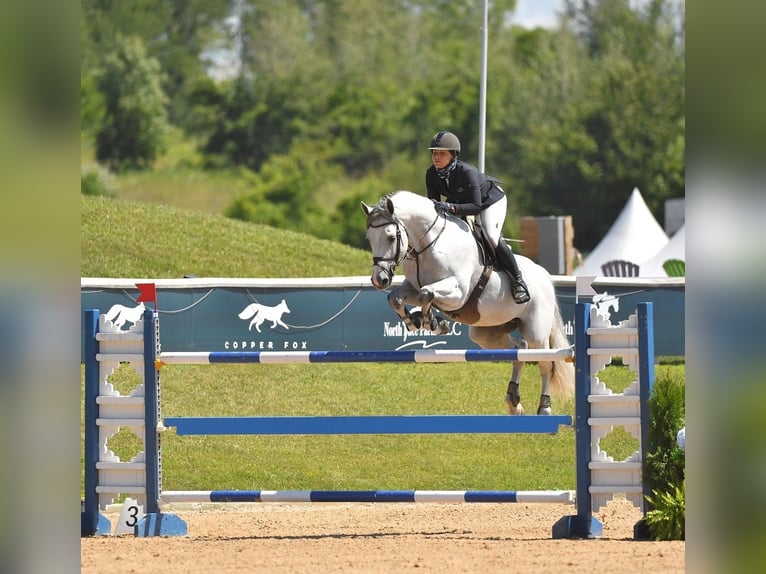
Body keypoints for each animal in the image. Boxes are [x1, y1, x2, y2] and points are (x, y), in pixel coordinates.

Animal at [364, 191, 572, 416]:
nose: (379, 280)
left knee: (545, 363)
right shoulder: (412, 286)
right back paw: (514, 402)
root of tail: (545, 275)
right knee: (519, 350)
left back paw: (544, 408)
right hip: (487, 333)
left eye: (391, 237)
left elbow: (426, 294)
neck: (429, 245)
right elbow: (395, 297)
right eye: (369, 239)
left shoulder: (459, 292)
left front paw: (432, 323)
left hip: (536, 331)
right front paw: (416, 322)